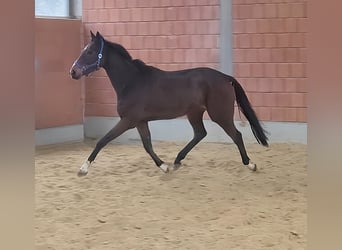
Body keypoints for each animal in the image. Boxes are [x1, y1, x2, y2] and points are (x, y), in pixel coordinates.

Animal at [69, 31, 268, 176]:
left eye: (89, 51)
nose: (73, 72)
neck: (132, 81)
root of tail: (226, 78)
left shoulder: (128, 120)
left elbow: (103, 141)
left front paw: (83, 168)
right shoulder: (140, 122)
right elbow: (147, 145)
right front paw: (164, 166)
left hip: (220, 115)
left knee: (236, 135)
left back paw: (250, 164)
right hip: (194, 113)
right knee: (200, 133)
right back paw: (177, 160)